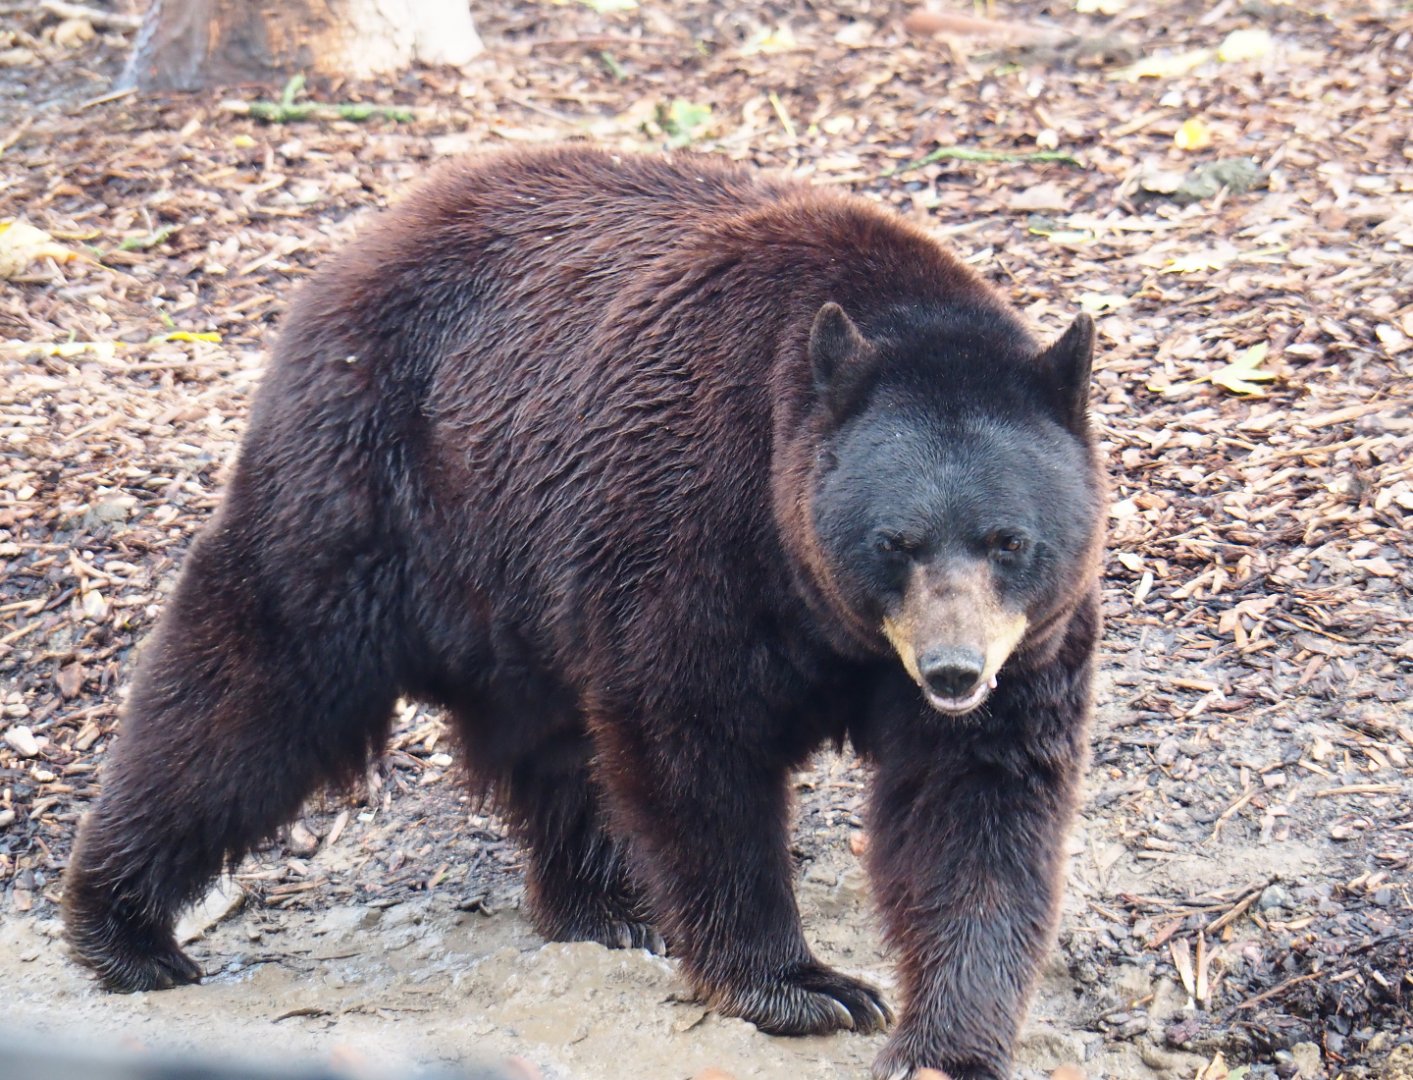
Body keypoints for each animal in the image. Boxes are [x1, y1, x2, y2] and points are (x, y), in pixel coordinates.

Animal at [63, 145, 1105, 1080]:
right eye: (897, 540)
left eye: (1008, 539)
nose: (951, 671)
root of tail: (369, 237)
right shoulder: (696, 527)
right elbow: (694, 746)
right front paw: (803, 984)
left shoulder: (1030, 641)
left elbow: (976, 804)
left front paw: (945, 1044)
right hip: (375, 485)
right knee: (253, 687)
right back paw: (124, 924)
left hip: (524, 575)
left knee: (553, 742)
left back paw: (602, 902)